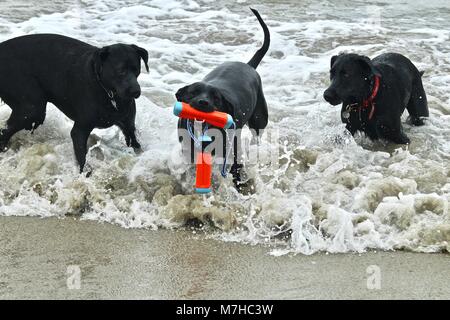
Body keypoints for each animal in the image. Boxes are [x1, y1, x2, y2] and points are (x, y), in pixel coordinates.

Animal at [0, 33, 149, 171]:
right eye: (120, 70)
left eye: (136, 69)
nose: (136, 91)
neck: (107, 92)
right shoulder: (79, 131)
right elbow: (83, 159)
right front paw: (86, 174)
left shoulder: (128, 126)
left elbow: (135, 143)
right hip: (31, 107)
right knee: (6, 131)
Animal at [176, 8, 268, 190]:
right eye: (193, 93)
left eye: (216, 98)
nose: (203, 102)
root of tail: (249, 65)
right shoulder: (188, 151)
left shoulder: (232, 152)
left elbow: (235, 171)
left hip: (259, 121)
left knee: (257, 137)